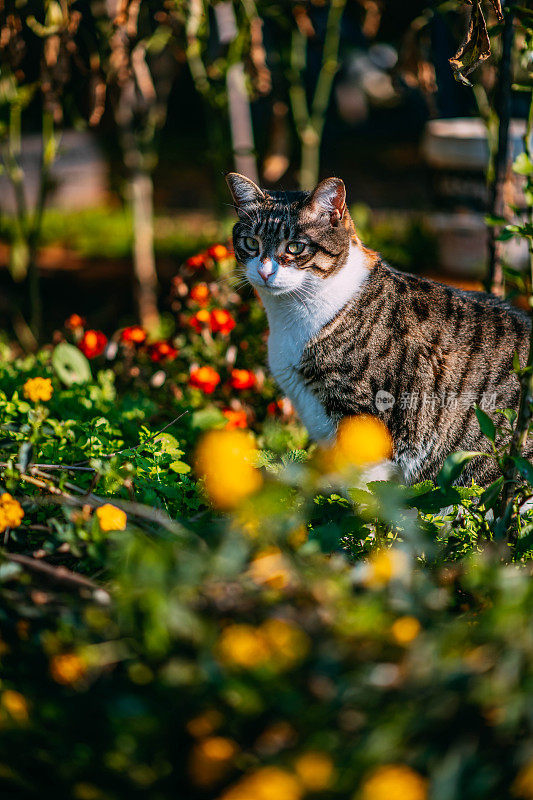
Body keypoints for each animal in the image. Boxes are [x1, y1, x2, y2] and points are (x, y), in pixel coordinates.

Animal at [225, 172, 532, 484]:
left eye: (295, 247)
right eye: (250, 242)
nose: (264, 272)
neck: (289, 318)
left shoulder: (367, 420)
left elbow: (365, 488)